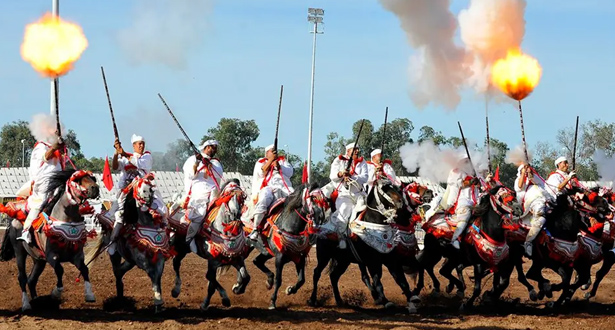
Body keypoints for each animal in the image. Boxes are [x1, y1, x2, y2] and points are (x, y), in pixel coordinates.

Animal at [0, 170, 100, 312]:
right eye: (78, 180)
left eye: (92, 178)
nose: (95, 188)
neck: (65, 221)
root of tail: (13, 220)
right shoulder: (51, 256)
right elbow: (60, 270)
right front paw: (56, 293)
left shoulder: (76, 255)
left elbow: (85, 269)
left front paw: (89, 294)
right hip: (20, 253)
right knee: (22, 278)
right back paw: (26, 304)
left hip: (39, 260)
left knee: (31, 280)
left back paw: (36, 301)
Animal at [90, 175, 171, 312]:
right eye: (139, 188)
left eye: (150, 188)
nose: (147, 198)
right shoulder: (141, 259)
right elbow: (152, 273)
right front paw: (158, 301)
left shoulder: (159, 256)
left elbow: (157, 276)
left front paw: (158, 302)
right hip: (115, 254)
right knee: (117, 271)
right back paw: (119, 299)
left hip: (130, 260)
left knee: (120, 270)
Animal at [167, 179, 251, 310]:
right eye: (229, 196)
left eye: (242, 198)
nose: (235, 214)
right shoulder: (213, 261)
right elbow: (210, 279)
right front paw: (218, 301)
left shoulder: (237, 258)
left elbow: (246, 277)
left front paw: (237, 289)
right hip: (181, 246)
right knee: (176, 263)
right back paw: (176, 290)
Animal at [308, 179, 418, 314]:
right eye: (385, 189)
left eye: (398, 189)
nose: (400, 203)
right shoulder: (372, 262)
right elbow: (377, 282)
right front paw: (385, 301)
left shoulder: (390, 260)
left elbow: (401, 281)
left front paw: (412, 298)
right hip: (324, 256)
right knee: (317, 273)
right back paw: (312, 300)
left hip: (343, 260)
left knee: (334, 276)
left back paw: (339, 300)